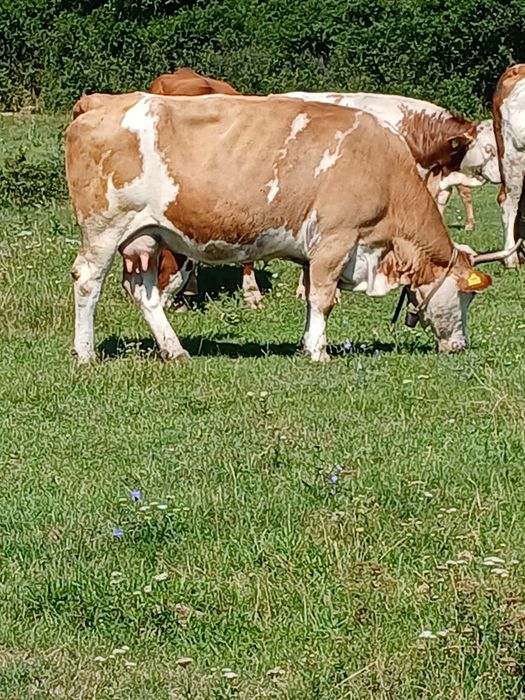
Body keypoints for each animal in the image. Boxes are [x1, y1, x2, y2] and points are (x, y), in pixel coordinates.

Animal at [66, 91, 499, 365]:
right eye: (466, 296)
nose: (460, 345)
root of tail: (101, 100)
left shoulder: (316, 251)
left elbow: (311, 296)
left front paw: (308, 343)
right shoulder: (336, 239)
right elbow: (323, 297)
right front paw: (320, 352)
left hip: (148, 236)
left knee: (145, 292)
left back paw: (175, 350)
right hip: (104, 229)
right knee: (87, 281)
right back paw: (85, 354)